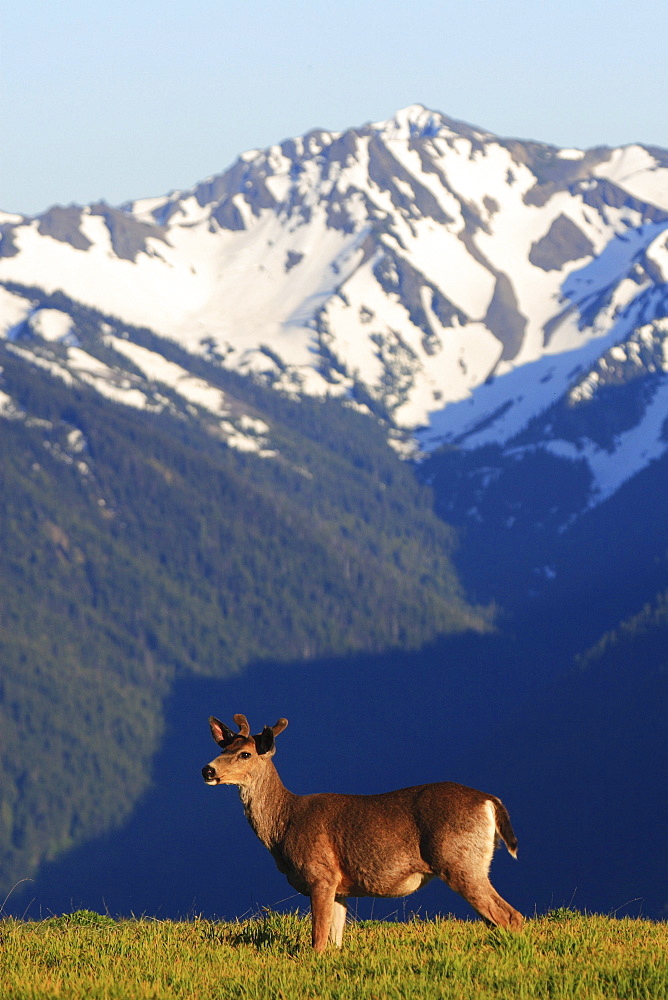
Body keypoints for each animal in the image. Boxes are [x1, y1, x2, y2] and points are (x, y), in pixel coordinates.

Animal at [201, 712, 524, 952]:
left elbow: (318, 940)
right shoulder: (340, 888)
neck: (284, 825)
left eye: (245, 754)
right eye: (222, 749)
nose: (207, 770)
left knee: (509, 915)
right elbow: (335, 941)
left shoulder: (320, 873)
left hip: (458, 859)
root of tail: (490, 801)